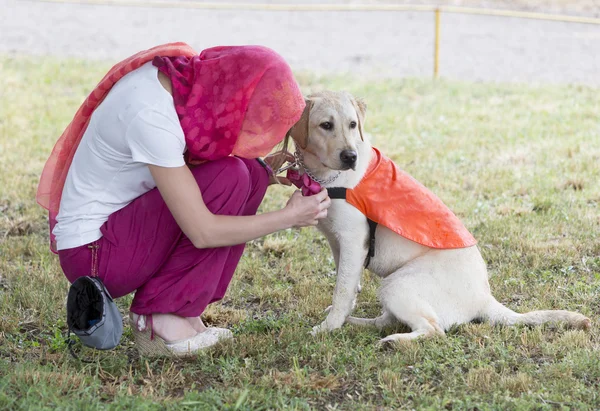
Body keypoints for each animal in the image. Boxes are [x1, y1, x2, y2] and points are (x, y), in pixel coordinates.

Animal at [290, 91, 592, 344]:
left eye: (353, 124)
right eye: (326, 125)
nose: (350, 156)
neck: (326, 177)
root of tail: (485, 298)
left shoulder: (354, 240)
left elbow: (342, 290)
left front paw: (329, 327)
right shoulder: (337, 242)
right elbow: (348, 284)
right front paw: (340, 318)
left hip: (398, 284)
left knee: (433, 330)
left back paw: (394, 342)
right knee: (387, 321)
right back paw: (358, 324)